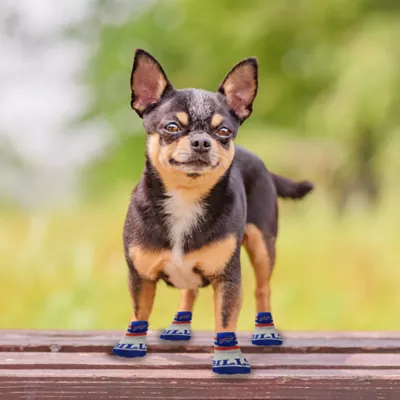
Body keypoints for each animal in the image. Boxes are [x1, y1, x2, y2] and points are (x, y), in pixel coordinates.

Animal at [111, 49, 312, 376]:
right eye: (171, 127)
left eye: (223, 131)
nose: (202, 141)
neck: (186, 197)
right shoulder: (141, 276)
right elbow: (140, 312)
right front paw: (132, 345)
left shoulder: (228, 279)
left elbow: (225, 320)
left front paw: (228, 359)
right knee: (189, 292)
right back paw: (179, 326)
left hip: (263, 246)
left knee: (263, 288)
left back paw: (265, 331)